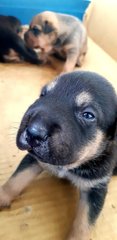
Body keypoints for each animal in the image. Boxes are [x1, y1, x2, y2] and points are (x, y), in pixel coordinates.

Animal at [0, 71, 117, 240]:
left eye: (88, 115)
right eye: (43, 94)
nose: (33, 133)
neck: (68, 165)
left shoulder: (96, 188)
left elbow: (83, 224)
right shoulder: (35, 159)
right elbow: (16, 180)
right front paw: (2, 195)